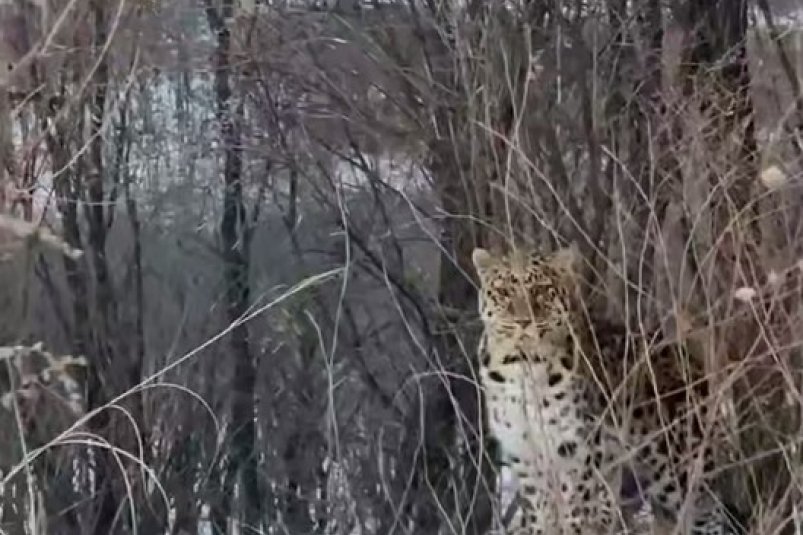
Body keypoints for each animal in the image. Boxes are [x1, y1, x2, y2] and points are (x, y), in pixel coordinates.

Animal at [472, 245, 746, 535]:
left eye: (542, 289)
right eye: (504, 291)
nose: (524, 321)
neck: (521, 365)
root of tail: (691, 361)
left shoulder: (576, 448)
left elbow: (575, 507)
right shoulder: (524, 454)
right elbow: (540, 511)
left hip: (680, 468)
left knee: (708, 511)